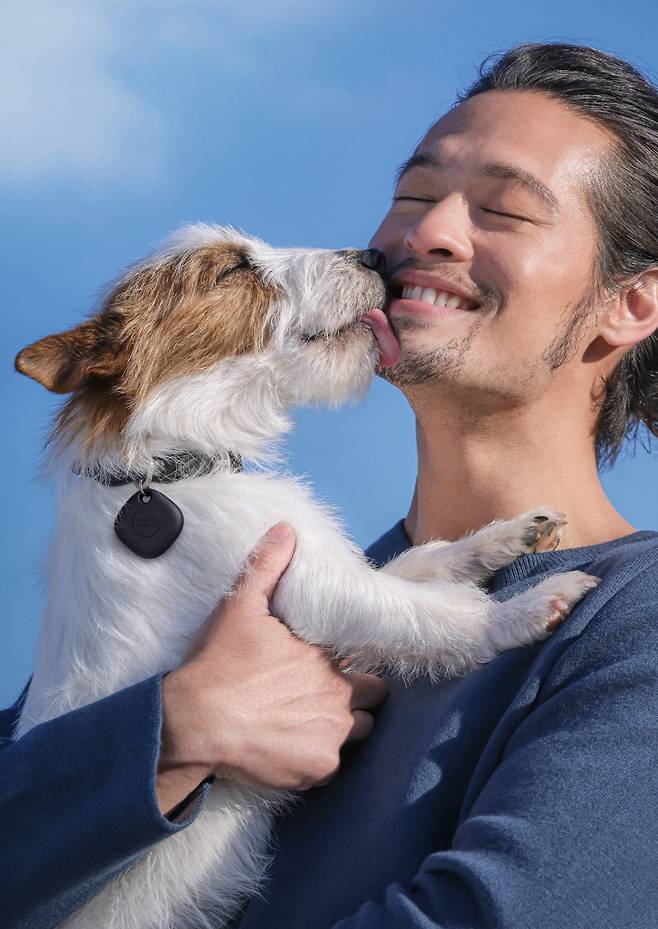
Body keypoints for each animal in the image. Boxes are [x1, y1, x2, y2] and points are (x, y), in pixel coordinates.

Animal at [16, 225, 600, 928]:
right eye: (232, 270)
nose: (376, 256)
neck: (163, 472)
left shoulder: (327, 559)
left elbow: (419, 563)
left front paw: (503, 537)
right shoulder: (317, 588)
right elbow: (427, 613)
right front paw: (529, 608)